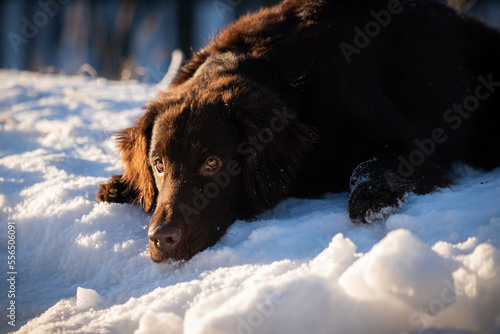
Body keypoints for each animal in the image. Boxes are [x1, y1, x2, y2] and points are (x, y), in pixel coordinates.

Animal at [96, 0, 500, 260]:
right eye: (159, 165)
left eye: (212, 162)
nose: (160, 239)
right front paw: (121, 185)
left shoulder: (413, 145)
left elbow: (368, 164)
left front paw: (370, 197)